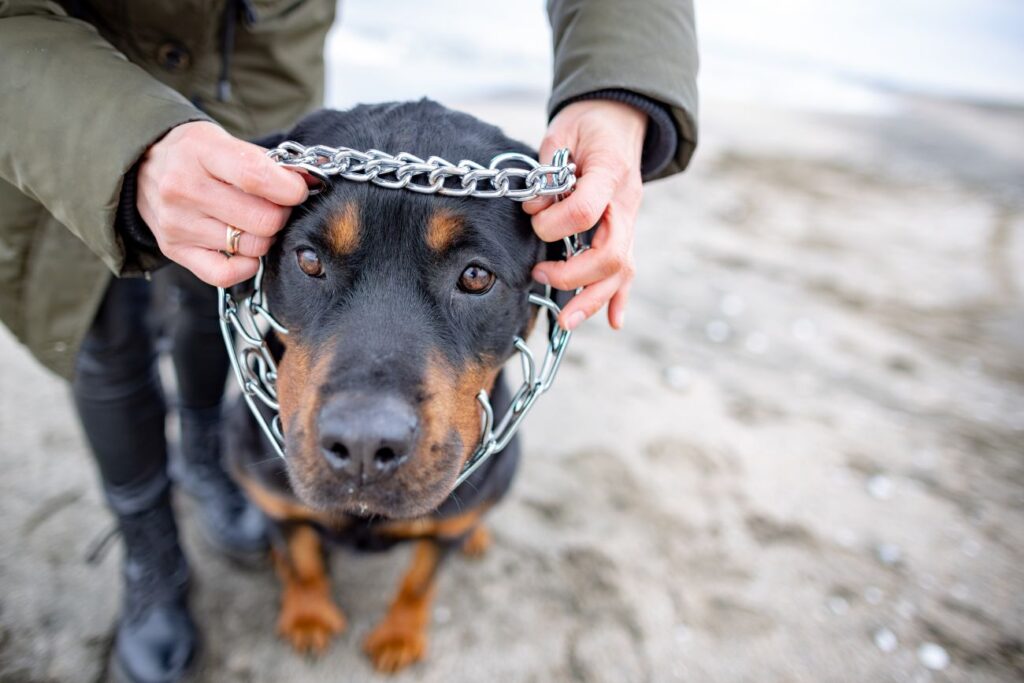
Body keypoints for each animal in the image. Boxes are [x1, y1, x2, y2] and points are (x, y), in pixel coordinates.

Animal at [222, 101, 569, 671]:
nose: (364, 444)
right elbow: (301, 557)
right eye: (309, 260)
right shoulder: (271, 494)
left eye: (476, 276)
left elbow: (420, 580)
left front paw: (399, 637)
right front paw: (308, 616)